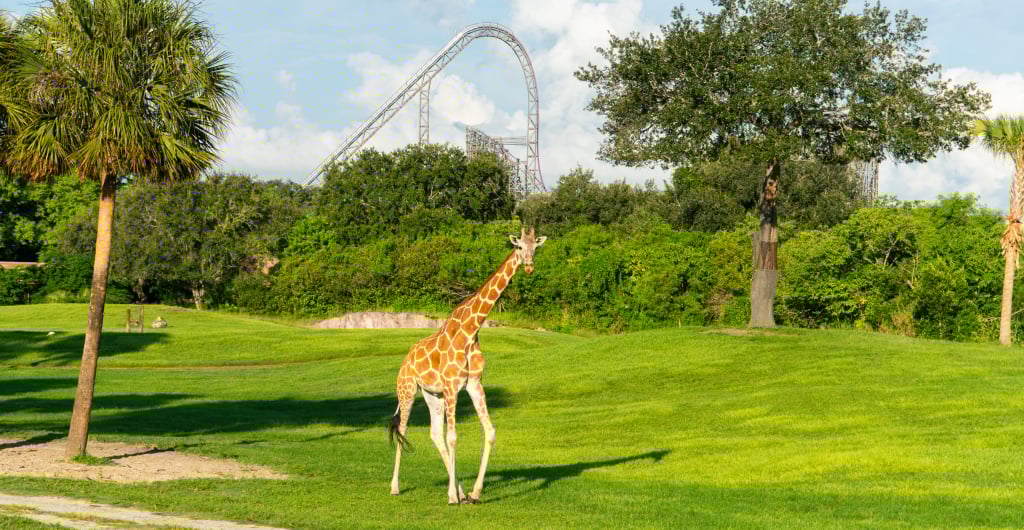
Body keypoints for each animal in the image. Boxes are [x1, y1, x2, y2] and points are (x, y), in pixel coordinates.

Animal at [389, 226, 546, 505]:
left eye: (535, 248)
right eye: (518, 247)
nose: (528, 267)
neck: (471, 331)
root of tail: (406, 359)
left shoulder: (473, 384)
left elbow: (490, 432)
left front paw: (473, 493)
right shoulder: (453, 386)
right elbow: (454, 437)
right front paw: (452, 496)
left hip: (432, 394)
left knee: (435, 434)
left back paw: (460, 490)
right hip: (407, 389)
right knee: (405, 429)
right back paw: (396, 487)